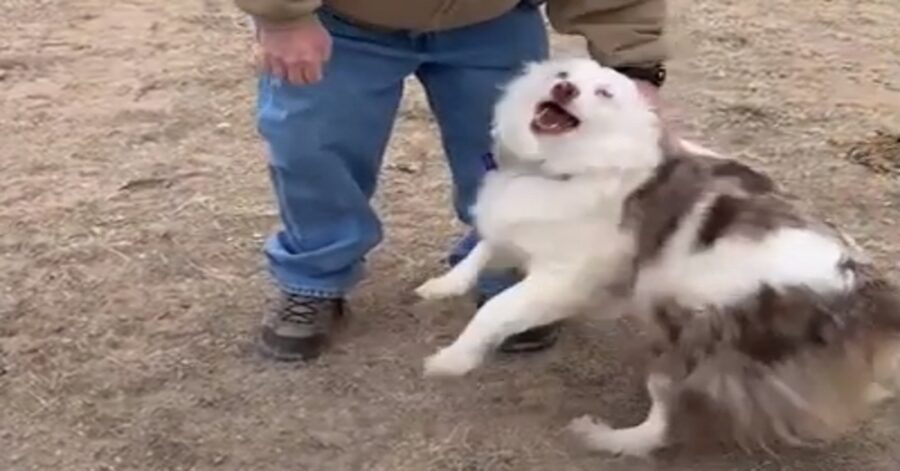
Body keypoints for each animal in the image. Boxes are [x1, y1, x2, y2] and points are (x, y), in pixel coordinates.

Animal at [416, 58, 900, 458]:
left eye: (604, 93)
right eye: (563, 76)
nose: (564, 90)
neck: (566, 167)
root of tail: (861, 287)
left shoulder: (561, 278)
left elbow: (494, 311)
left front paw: (452, 360)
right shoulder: (518, 224)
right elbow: (483, 247)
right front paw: (444, 286)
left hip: (694, 337)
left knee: (667, 419)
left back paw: (608, 438)